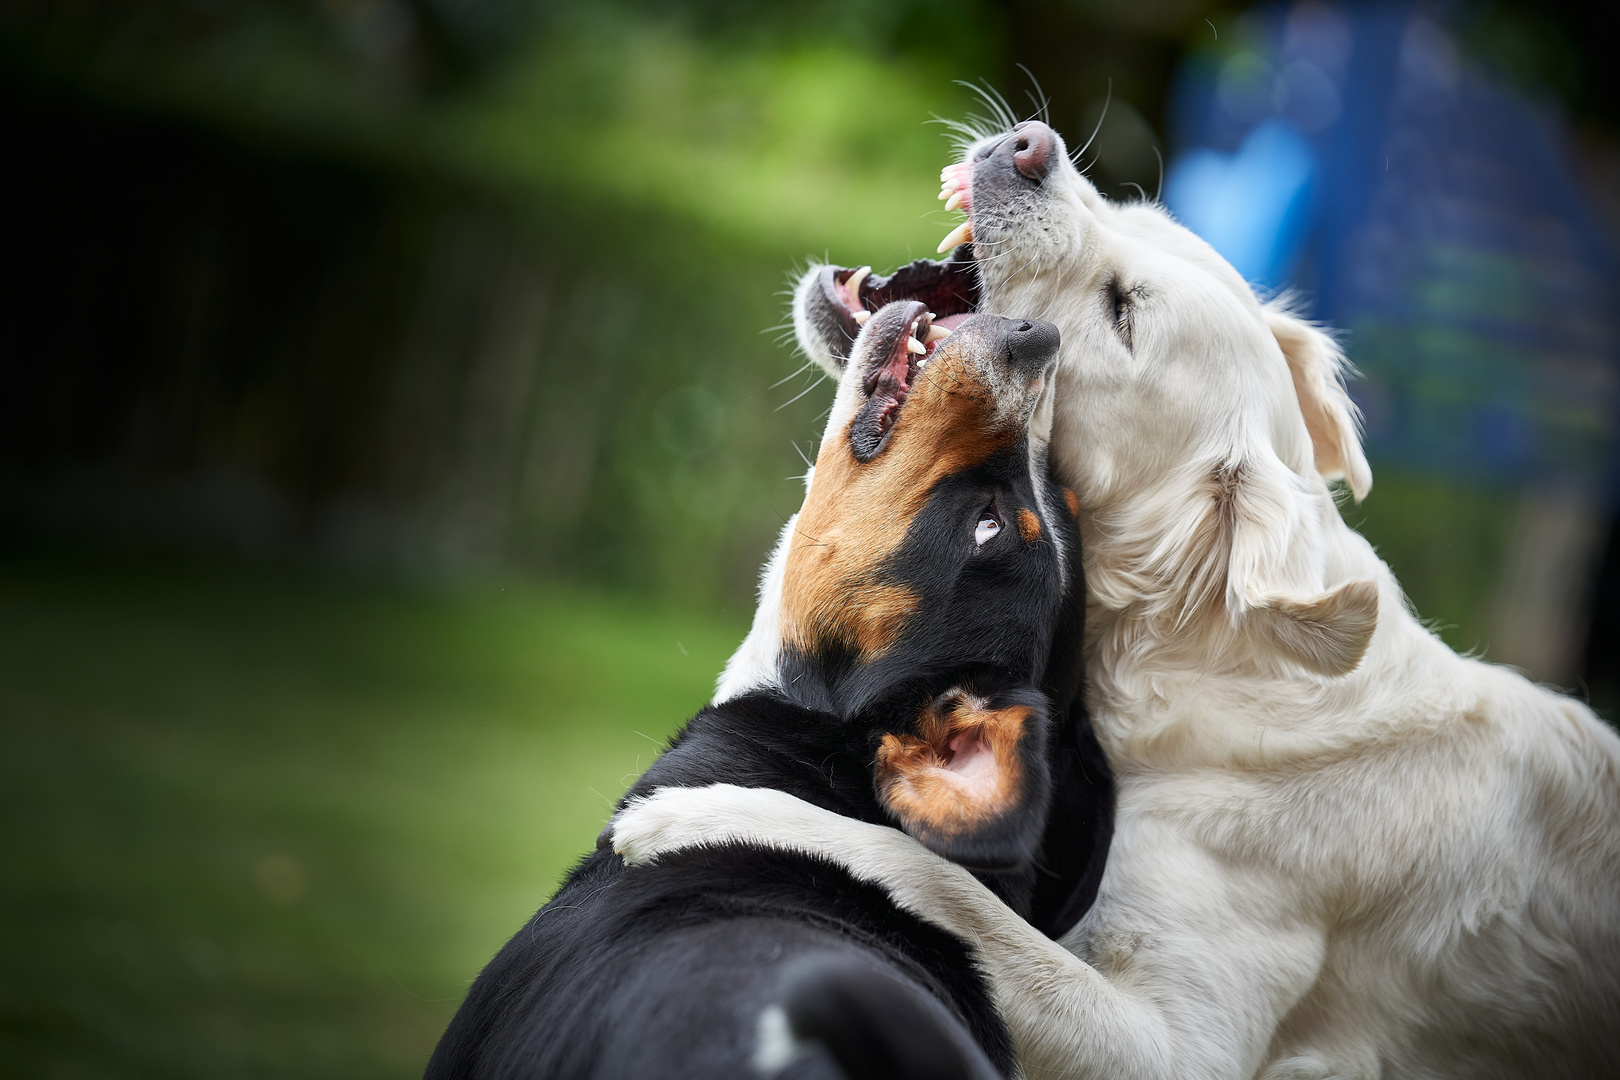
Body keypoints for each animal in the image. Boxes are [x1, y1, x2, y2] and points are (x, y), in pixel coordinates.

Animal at [609, 122, 1620, 1075]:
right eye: (1135, 214)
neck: (1179, 663)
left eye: (1123, 312)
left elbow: (949, 888)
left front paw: (708, 816)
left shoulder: (1177, 1046)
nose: (1030, 146)